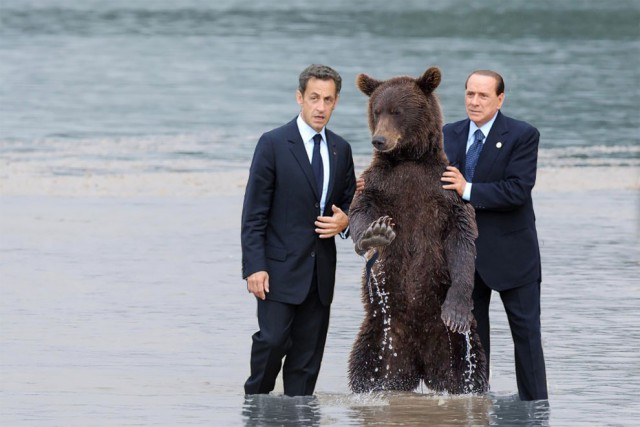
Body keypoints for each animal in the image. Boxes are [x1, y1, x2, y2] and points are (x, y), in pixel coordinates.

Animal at [348, 67, 488, 398]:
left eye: (397, 111)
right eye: (377, 110)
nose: (379, 140)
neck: (409, 159)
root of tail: (421, 366)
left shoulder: (444, 191)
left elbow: (462, 240)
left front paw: (456, 311)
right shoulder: (380, 184)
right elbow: (360, 212)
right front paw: (375, 234)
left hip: (454, 347)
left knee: (471, 368)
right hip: (380, 336)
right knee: (364, 368)